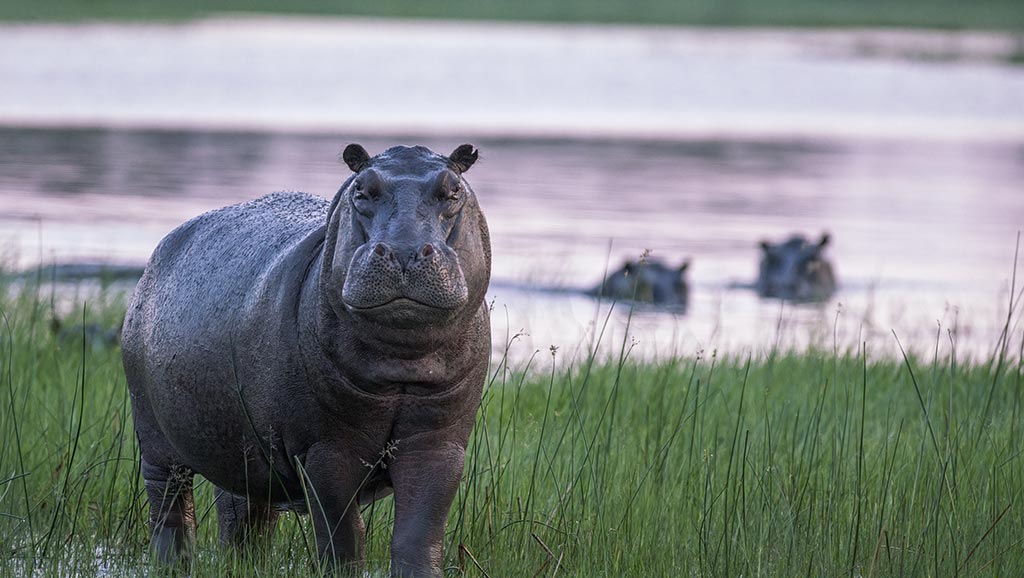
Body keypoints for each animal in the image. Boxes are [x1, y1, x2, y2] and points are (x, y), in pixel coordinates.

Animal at [121, 144, 489, 578]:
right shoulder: (325, 451)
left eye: (453, 190)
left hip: (240, 449)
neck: (401, 360)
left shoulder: (440, 445)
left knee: (243, 514)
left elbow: (418, 535)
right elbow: (343, 537)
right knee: (170, 508)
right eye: (361, 190)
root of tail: (161, 250)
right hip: (155, 442)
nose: (403, 251)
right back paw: (172, 564)